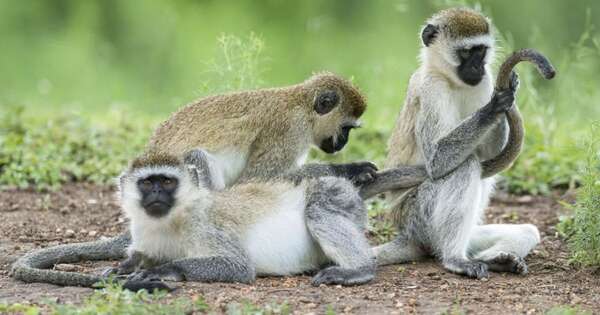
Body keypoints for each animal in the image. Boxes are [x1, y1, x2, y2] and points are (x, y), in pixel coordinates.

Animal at [378, 7, 556, 278]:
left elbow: (487, 152)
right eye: (466, 52)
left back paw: (497, 260)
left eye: (481, 51)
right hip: (418, 218)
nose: (478, 66)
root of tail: (409, 236)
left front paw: (508, 95)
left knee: (528, 230)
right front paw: (495, 105)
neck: (452, 81)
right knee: (466, 166)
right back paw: (455, 258)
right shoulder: (431, 88)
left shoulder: (485, 81)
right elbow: (437, 160)